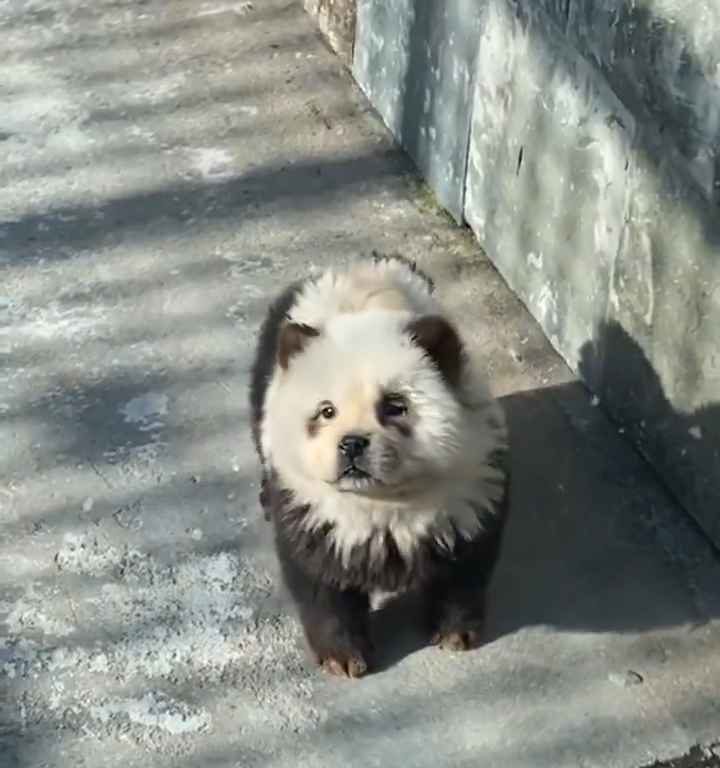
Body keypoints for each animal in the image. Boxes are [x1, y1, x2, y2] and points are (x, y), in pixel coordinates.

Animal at [250, 254, 510, 680]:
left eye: (394, 406)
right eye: (326, 411)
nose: (352, 444)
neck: (384, 503)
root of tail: (358, 265)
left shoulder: (470, 489)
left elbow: (464, 568)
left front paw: (454, 633)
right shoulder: (312, 510)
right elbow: (321, 582)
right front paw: (343, 656)